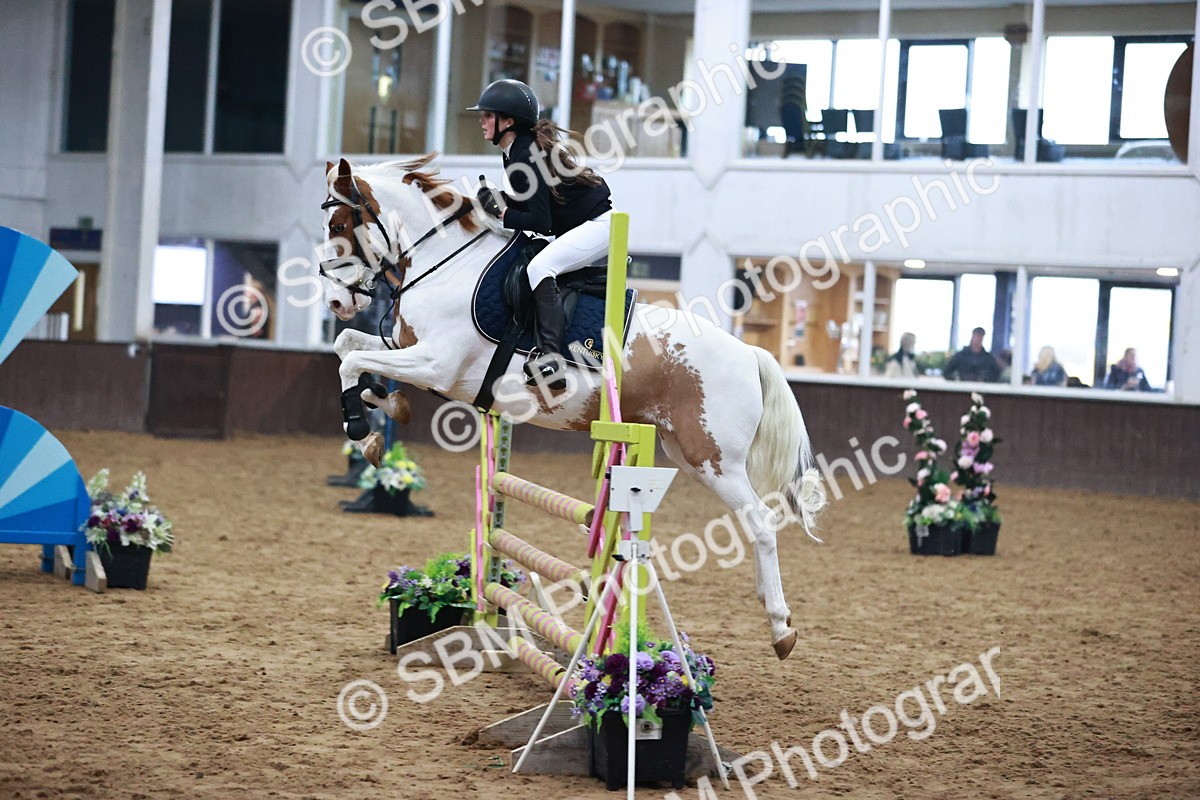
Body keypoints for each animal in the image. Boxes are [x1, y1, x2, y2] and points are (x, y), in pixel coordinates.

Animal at [317, 156, 827, 660]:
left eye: (339, 224)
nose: (337, 302)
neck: (446, 265)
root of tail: (749, 353)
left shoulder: (435, 363)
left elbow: (353, 360)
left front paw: (361, 427)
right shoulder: (407, 349)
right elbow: (348, 348)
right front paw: (385, 410)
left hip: (713, 457)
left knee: (761, 521)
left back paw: (780, 627)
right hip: (689, 455)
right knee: (750, 520)